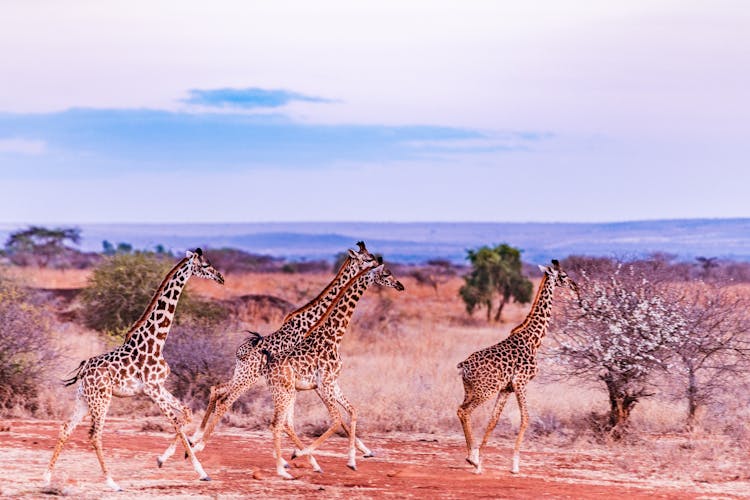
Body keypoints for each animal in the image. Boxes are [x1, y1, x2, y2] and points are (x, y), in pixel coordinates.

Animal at [43, 248, 225, 490]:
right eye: (205, 266)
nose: (221, 278)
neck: (156, 341)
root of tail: (83, 372)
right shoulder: (151, 389)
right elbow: (176, 422)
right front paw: (201, 472)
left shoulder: (158, 386)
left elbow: (186, 413)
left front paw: (164, 458)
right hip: (102, 399)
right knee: (95, 435)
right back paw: (112, 482)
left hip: (84, 399)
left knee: (66, 428)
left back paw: (46, 478)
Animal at [155, 241, 378, 464]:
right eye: (368, 259)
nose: (379, 265)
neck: (313, 321)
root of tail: (240, 352)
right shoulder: (313, 380)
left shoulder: (304, 382)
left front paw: (363, 450)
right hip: (249, 378)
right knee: (225, 401)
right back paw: (197, 444)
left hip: (242, 375)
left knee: (217, 390)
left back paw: (193, 440)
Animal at [266, 262, 402, 476]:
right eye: (386, 273)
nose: (400, 286)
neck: (335, 335)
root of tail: (267, 367)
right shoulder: (325, 384)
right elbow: (337, 419)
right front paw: (301, 453)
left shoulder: (333, 383)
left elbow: (352, 411)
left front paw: (352, 461)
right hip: (284, 392)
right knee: (277, 424)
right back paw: (283, 469)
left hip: (287, 393)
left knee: (283, 423)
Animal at [456, 260, 580, 474]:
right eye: (563, 276)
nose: (576, 286)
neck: (533, 340)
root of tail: (464, 366)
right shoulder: (521, 382)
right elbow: (526, 418)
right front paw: (514, 465)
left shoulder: (507, 388)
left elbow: (493, 421)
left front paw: (481, 458)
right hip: (485, 390)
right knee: (464, 411)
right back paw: (471, 458)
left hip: (471, 390)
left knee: (461, 410)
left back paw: (473, 457)